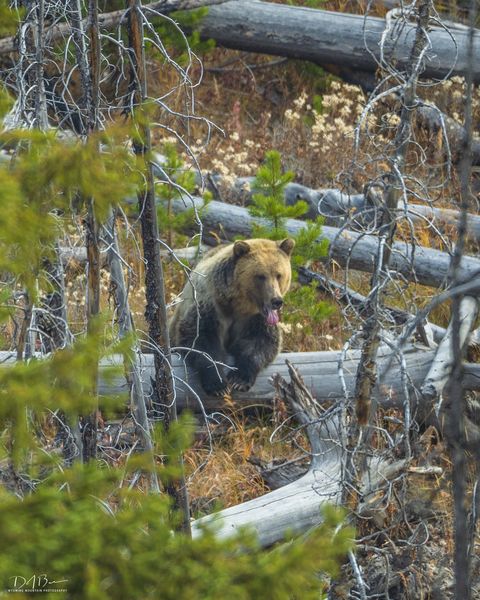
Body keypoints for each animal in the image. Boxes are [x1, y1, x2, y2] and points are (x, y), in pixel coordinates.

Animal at [169, 237, 296, 396]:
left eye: (279, 275)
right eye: (260, 276)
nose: (276, 301)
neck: (236, 304)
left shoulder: (256, 318)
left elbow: (261, 343)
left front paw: (239, 380)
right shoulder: (209, 305)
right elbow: (201, 339)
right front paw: (218, 384)